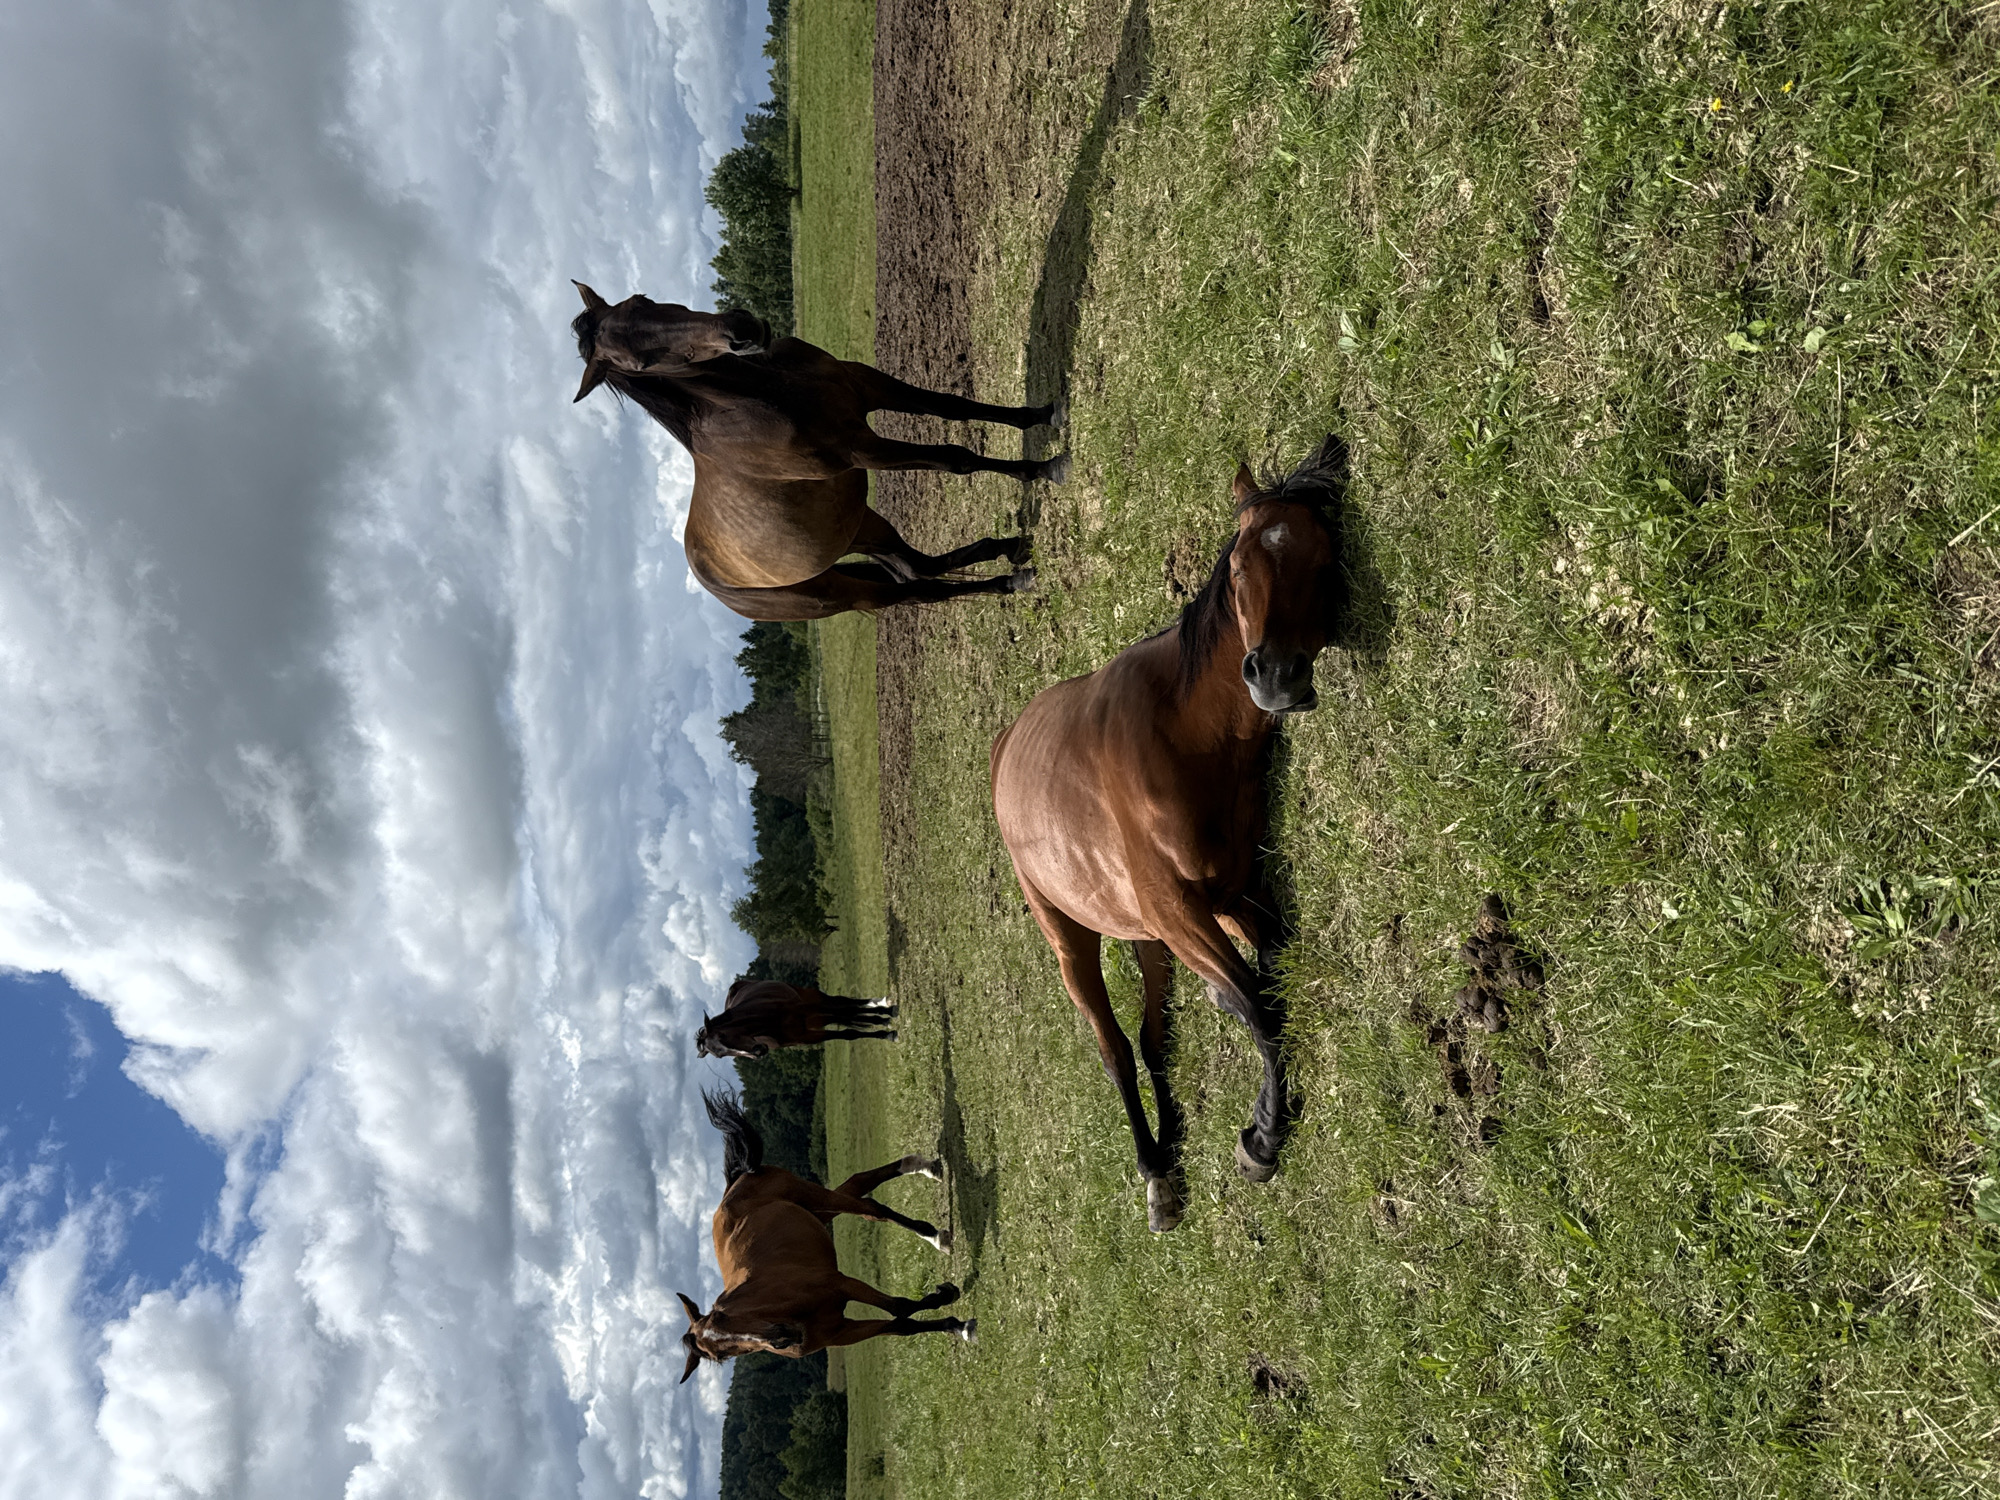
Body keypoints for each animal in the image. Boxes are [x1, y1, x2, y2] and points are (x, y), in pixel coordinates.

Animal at [570, 284, 1064, 621]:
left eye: (642, 299)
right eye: (640, 363)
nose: (740, 331)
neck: (764, 394)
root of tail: (715, 585)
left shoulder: (866, 384)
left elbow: (953, 406)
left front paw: (1045, 414)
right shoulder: (862, 451)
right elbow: (956, 458)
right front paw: (1047, 467)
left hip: (858, 524)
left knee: (914, 566)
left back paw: (1013, 550)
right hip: (843, 591)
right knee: (917, 588)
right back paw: (1011, 578)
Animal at [678, 1090, 972, 1383]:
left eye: (723, 1316)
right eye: (721, 1356)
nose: (781, 1339)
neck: (786, 1309)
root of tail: (733, 1185)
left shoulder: (840, 1283)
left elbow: (900, 1308)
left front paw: (948, 1301)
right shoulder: (843, 1332)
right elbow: (903, 1325)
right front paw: (955, 1325)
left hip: (816, 1196)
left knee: (869, 1205)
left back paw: (933, 1217)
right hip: (820, 1211)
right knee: (862, 1194)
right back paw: (926, 1178)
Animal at [696, 979, 896, 1059]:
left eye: (723, 1036)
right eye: (721, 1055)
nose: (758, 1053)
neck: (769, 1023)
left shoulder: (809, 1008)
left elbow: (847, 1015)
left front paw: (885, 1024)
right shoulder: (807, 1036)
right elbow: (848, 1033)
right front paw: (883, 1029)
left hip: (811, 999)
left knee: (843, 1004)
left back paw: (883, 1007)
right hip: (815, 1018)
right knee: (843, 1010)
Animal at [989, 435, 1349, 1231]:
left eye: (1321, 557)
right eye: (1240, 565)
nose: (1273, 675)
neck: (1188, 736)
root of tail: (1004, 746)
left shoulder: (1230, 892)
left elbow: (1265, 983)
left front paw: (1258, 1117)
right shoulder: (1185, 910)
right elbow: (1257, 1005)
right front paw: (1264, 1139)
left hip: (1145, 933)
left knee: (1154, 1042)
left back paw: (1171, 1148)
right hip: (1072, 938)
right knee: (1117, 1050)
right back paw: (1154, 1168)